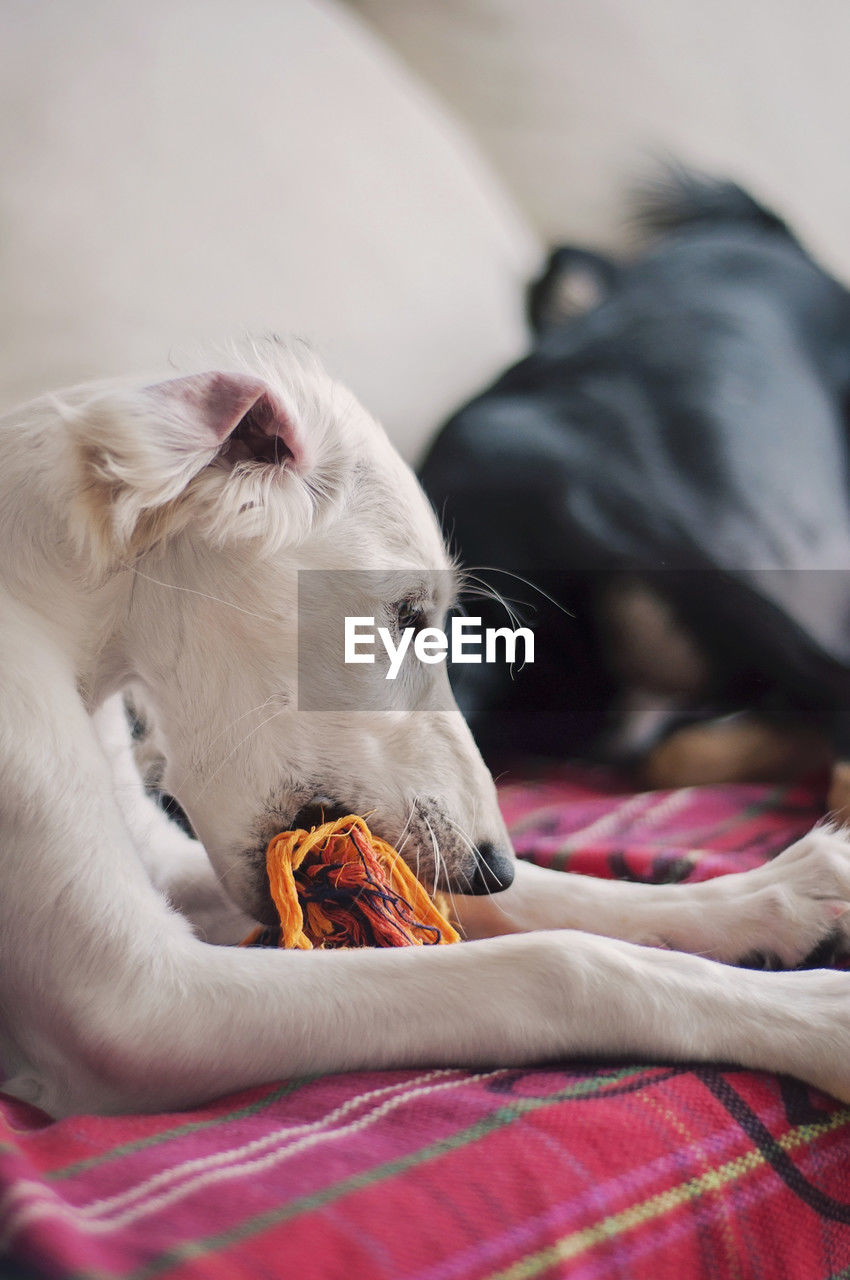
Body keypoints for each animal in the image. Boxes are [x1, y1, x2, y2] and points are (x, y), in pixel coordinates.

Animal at [1, 343, 850, 1121]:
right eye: (408, 614)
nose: (491, 867)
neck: (55, 614)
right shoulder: (140, 1000)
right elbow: (560, 963)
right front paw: (818, 1014)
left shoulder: (173, 871)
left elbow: (553, 892)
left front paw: (777, 896)